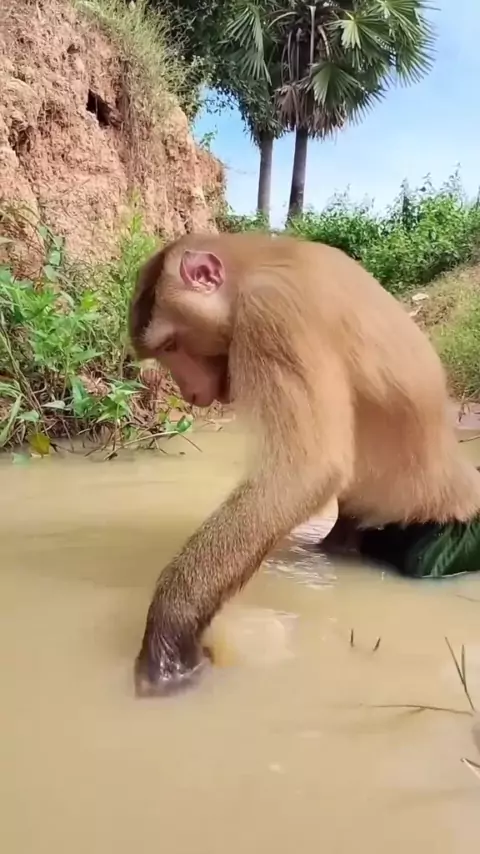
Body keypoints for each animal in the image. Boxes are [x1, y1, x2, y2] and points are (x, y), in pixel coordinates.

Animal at [129, 231, 480, 697]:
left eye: (172, 346)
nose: (187, 391)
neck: (253, 267)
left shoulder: (272, 316)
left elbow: (307, 470)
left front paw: (171, 628)